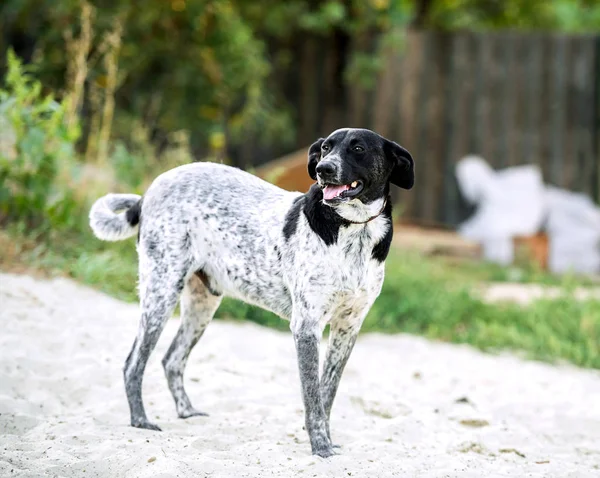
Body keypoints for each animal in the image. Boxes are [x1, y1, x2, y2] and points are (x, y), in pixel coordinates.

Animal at [89, 128, 414, 460]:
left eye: (358, 148)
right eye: (325, 148)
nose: (324, 169)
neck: (353, 231)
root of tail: (148, 192)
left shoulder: (348, 328)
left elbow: (327, 392)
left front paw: (325, 440)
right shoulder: (306, 326)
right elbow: (313, 398)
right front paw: (321, 448)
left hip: (202, 304)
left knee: (172, 359)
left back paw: (187, 412)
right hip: (161, 292)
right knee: (133, 364)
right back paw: (140, 421)